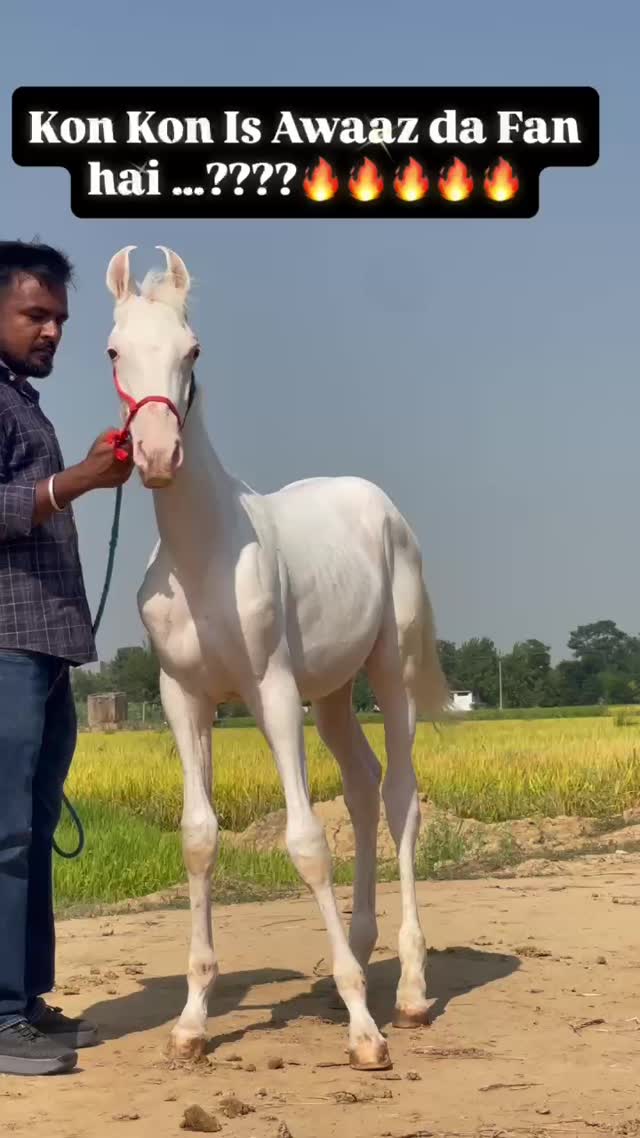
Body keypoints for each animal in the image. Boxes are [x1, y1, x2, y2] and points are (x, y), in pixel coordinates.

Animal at [104, 244, 450, 1071]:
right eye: (113, 351)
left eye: (193, 350)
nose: (157, 455)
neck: (202, 558)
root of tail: (381, 505)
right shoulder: (184, 698)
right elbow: (199, 839)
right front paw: (192, 1024)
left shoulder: (272, 690)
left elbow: (305, 842)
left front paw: (364, 1032)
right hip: (333, 696)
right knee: (361, 789)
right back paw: (354, 958)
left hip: (387, 676)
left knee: (400, 798)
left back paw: (410, 992)